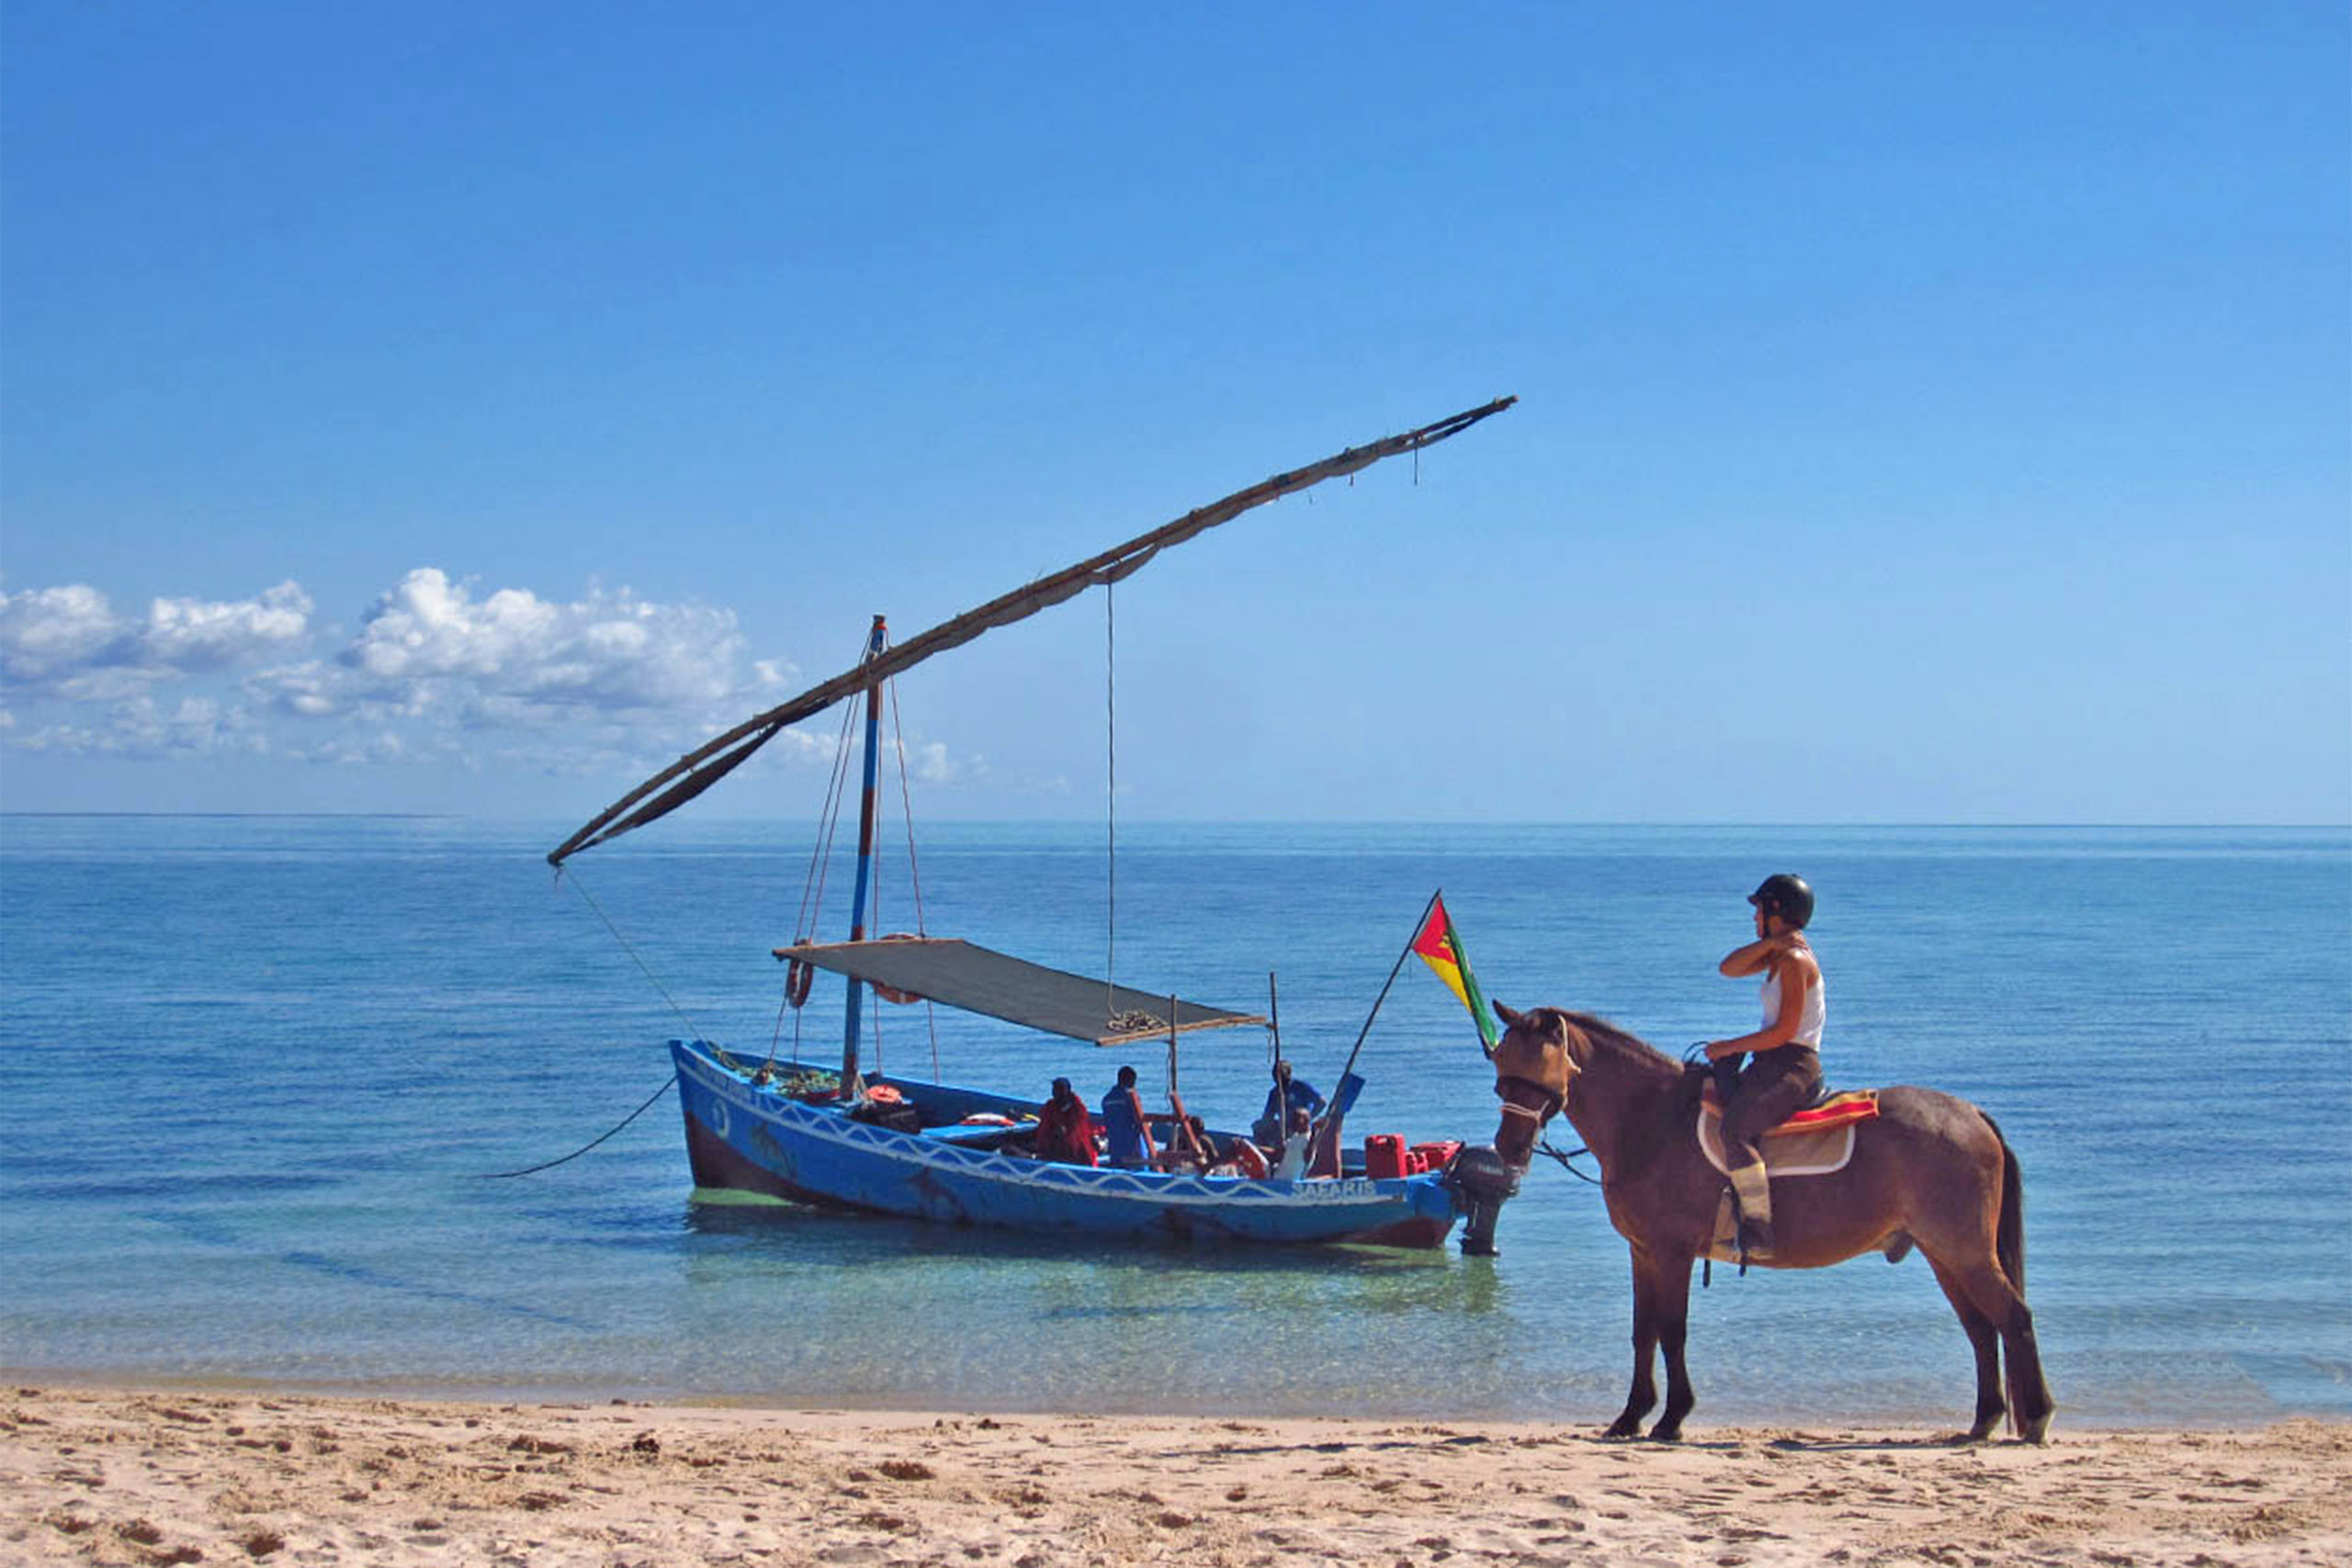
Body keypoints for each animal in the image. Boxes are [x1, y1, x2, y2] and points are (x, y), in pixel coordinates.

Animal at [1496, 1006, 2051, 1448]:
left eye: (1539, 1066)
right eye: (1501, 1067)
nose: (1509, 1147)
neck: (1654, 1122)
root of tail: (1972, 1114)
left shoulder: (1672, 1252)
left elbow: (1672, 1330)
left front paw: (1672, 1418)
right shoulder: (1644, 1251)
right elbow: (1643, 1331)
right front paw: (1631, 1416)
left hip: (1966, 1252)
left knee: (2014, 1318)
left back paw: (2038, 1418)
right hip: (1944, 1253)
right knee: (1981, 1329)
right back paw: (1983, 1420)